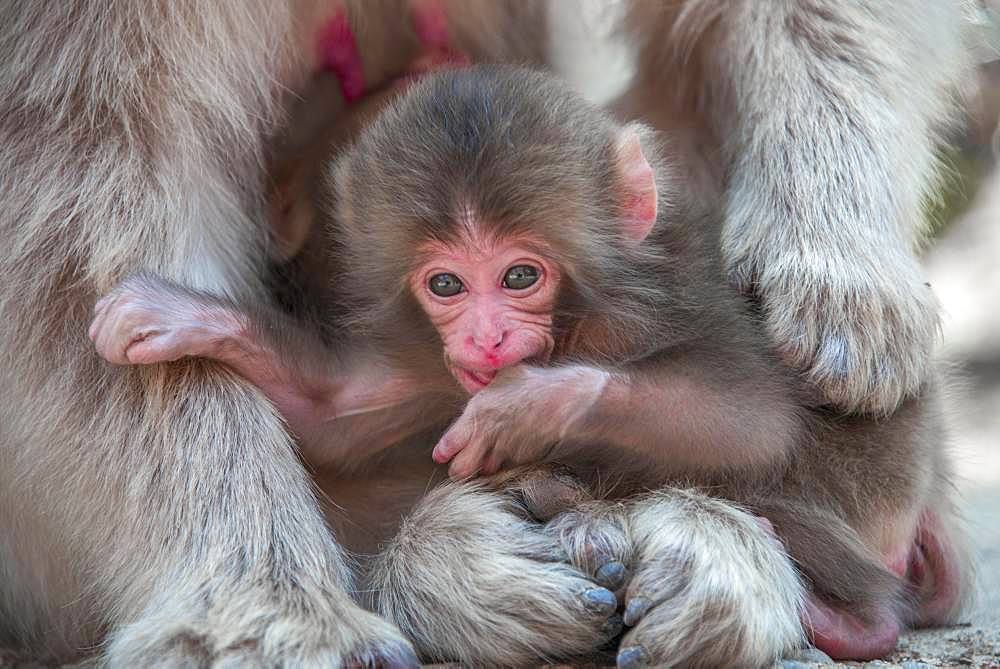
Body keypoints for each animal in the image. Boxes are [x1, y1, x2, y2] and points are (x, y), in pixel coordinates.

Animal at [0, 1, 972, 668]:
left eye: (520, 276)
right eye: (445, 283)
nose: (490, 342)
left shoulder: (640, 307)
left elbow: (746, 412)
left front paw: (838, 258)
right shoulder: (423, 358)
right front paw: (265, 603)